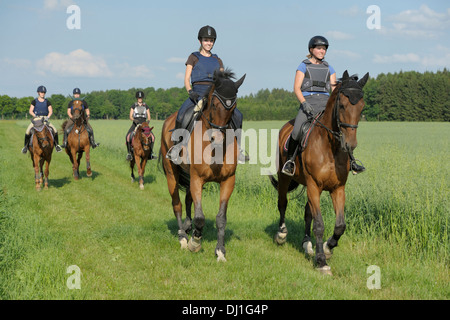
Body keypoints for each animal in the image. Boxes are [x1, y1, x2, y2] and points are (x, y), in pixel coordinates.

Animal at [160, 69, 246, 262]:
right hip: (171, 173)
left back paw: (187, 227)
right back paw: (183, 237)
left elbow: (221, 218)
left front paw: (220, 251)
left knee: (188, 200)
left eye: (233, 107)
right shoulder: (197, 178)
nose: (217, 138)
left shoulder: (228, 180)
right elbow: (200, 217)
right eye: (213, 104)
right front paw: (195, 243)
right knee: (177, 203)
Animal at [268, 70, 368, 276]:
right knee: (282, 203)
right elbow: (319, 224)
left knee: (308, 213)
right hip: (284, 178)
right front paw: (321, 261)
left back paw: (306, 244)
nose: (350, 145)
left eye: (362, 107)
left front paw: (328, 248)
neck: (330, 147)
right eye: (342, 105)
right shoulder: (314, 186)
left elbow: (339, 225)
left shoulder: (337, 188)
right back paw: (281, 234)